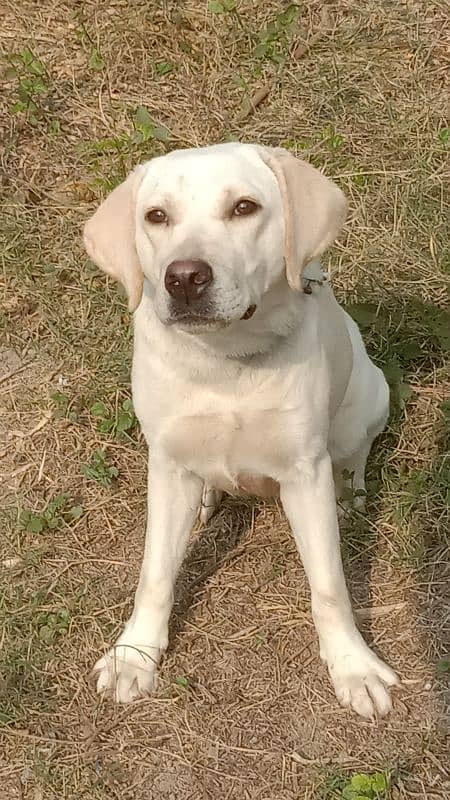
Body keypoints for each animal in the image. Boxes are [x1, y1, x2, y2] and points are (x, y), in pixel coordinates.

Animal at [83, 142, 398, 720]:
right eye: (156, 216)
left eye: (244, 207)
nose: (184, 277)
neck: (225, 361)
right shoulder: (168, 464)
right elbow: (154, 573)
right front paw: (135, 655)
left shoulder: (304, 471)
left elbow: (329, 583)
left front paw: (353, 666)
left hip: (368, 397)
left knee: (354, 455)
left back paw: (348, 494)